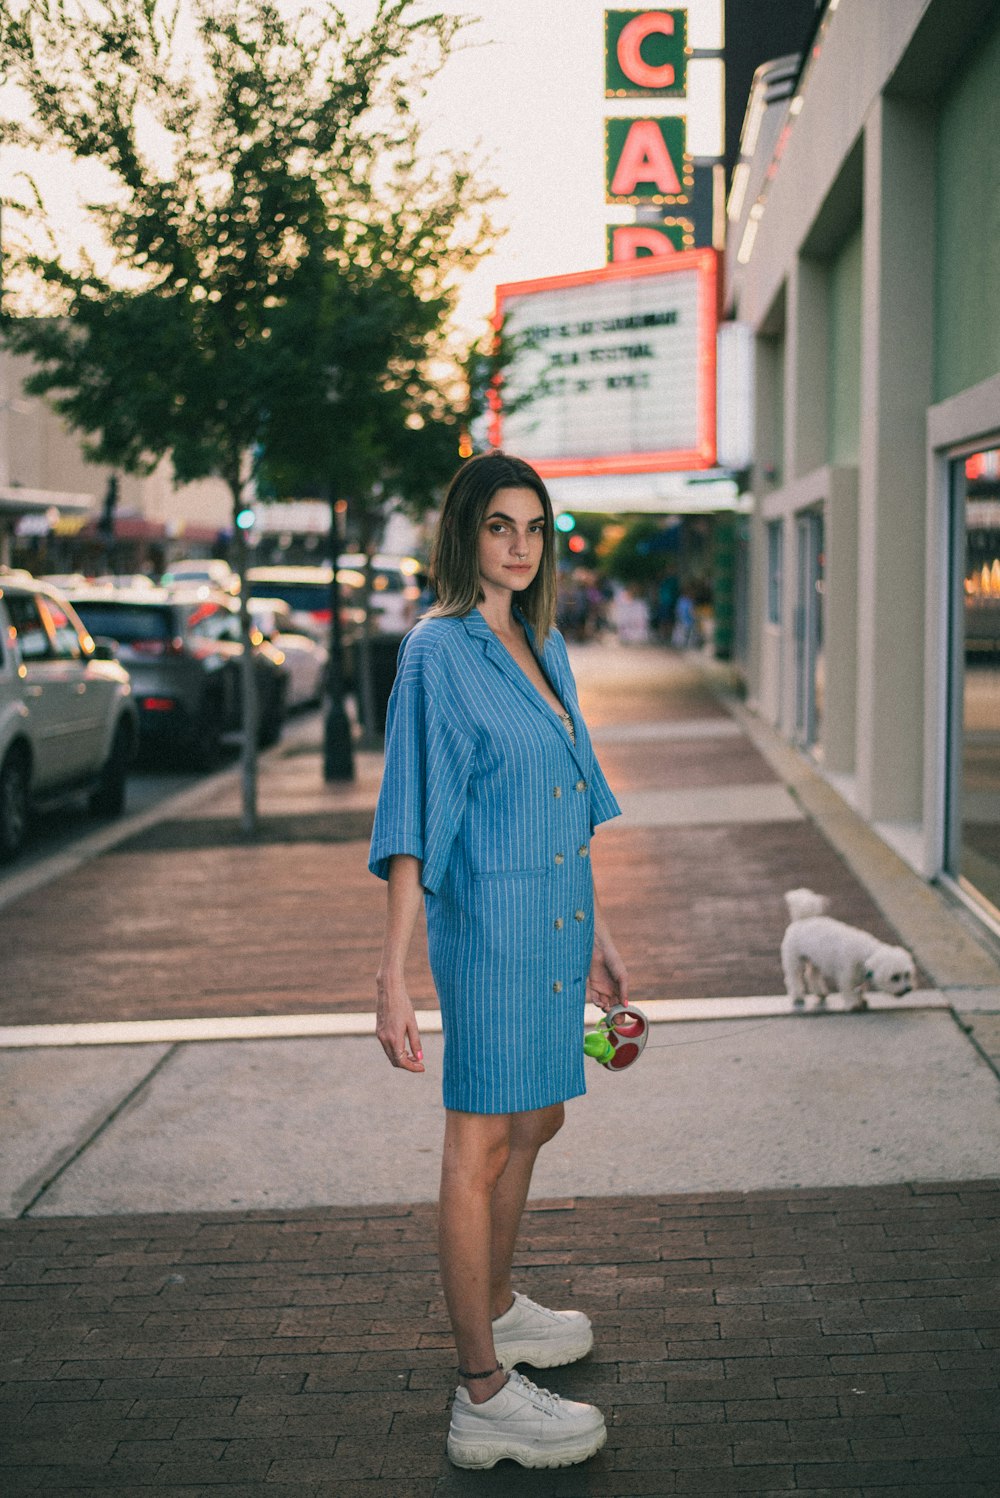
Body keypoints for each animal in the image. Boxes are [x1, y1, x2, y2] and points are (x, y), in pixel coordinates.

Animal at [778, 880, 916, 1012]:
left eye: (907, 974)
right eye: (895, 977)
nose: (908, 988)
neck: (867, 955)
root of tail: (802, 920)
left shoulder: (859, 977)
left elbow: (859, 990)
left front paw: (861, 1001)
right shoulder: (846, 976)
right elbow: (849, 991)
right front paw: (853, 1005)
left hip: (815, 959)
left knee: (812, 975)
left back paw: (820, 993)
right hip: (794, 960)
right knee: (794, 978)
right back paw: (798, 996)